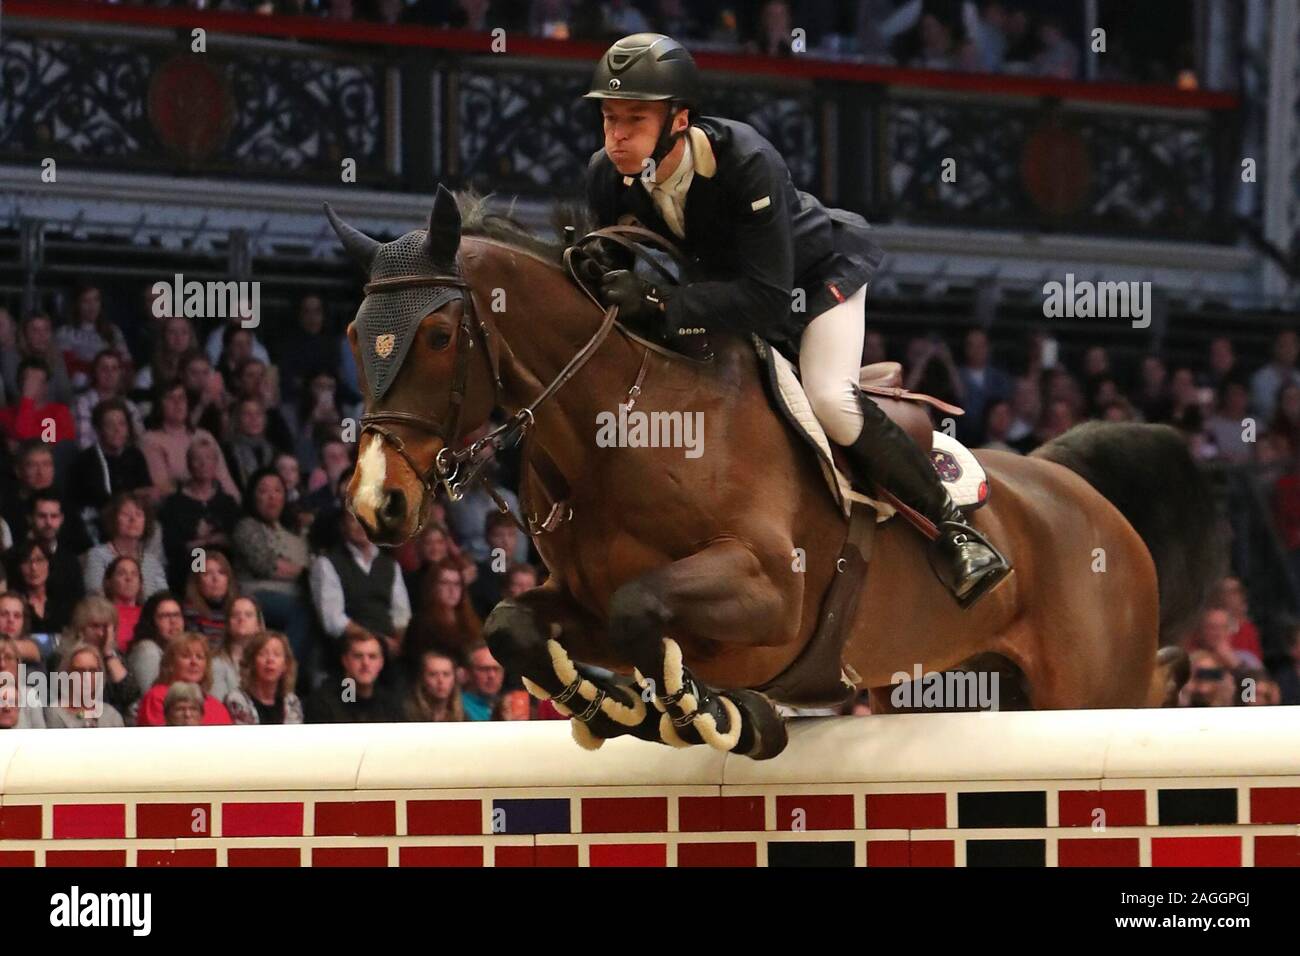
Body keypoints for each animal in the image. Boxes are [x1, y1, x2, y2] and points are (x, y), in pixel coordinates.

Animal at [325, 184, 1216, 754]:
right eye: (352, 335)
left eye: (440, 336)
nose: (376, 504)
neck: (622, 424)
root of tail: (1082, 494)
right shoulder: (577, 597)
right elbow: (517, 622)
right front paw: (611, 704)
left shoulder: (769, 594)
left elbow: (643, 608)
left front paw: (701, 712)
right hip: (950, 681)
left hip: (1089, 687)